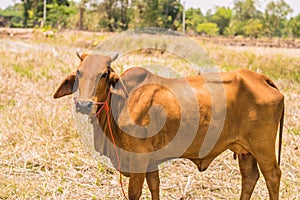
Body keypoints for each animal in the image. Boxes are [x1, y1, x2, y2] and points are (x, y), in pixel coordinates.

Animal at [53, 53, 284, 200]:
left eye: (103, 74)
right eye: (79, 73)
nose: (84, 104)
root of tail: (260, 77)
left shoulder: (138, 159)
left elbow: (135, 193)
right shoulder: (150, 160)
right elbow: (155, 186)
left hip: (263, 148)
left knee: (272, 176)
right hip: (245, 150)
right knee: (250, 178)